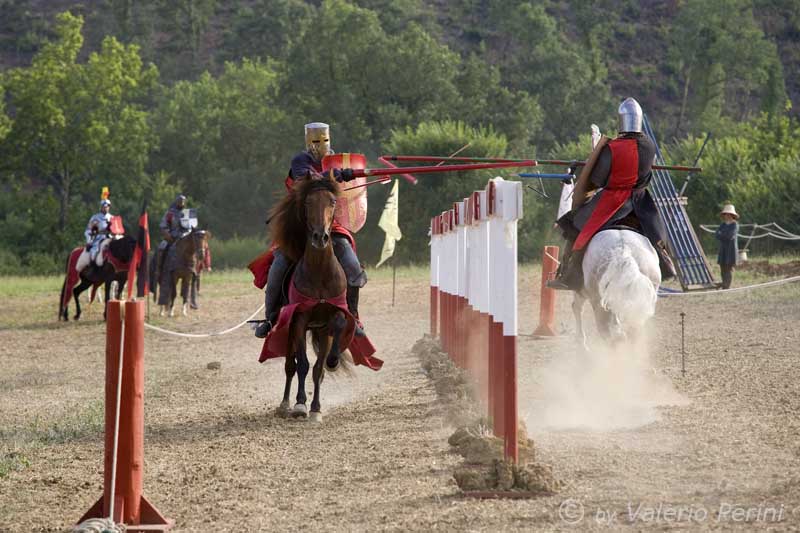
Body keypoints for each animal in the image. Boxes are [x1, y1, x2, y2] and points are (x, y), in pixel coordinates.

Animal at [270, 172, 352, 422]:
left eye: (332, 202)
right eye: (307, 203)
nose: (320, 237)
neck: (320, 273)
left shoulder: (328, 321)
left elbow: (319, 367)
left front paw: (316, 408)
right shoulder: (299, 319)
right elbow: (303, 365)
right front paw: (300, 404)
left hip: (319, 332)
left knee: (315, 367)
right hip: (289, 329)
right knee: (290, 365)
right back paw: (285, 404)